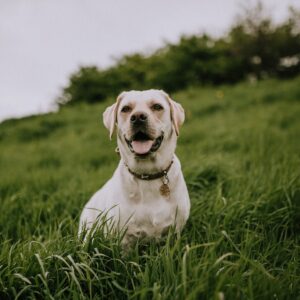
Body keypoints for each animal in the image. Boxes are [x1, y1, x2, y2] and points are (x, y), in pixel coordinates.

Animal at [79, 89, 190, 246]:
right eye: (125, 109)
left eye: (157, 106)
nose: (137, 117)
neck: (147, 174)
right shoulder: (122, 239)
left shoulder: (176, 231)